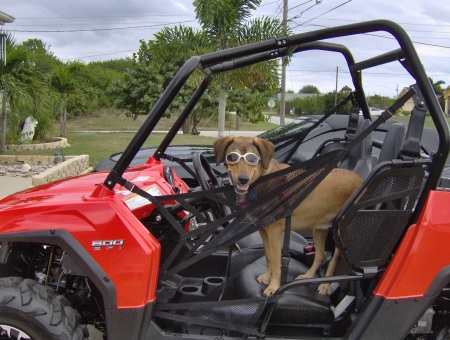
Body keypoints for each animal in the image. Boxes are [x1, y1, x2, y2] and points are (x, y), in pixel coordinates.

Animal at [214, 137, 362, 296]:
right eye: (232, 157)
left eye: (252, 159)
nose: (243, 179)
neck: (262, 178)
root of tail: (359, 178)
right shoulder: (263, 230)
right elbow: (269, 256)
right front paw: (267, 277)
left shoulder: (274, 232)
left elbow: (276, 260)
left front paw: (273, 286)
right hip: (319, 229)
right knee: (320, 255)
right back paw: (308, 276)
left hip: (340, 231)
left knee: (334, 259)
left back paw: (325, 285)